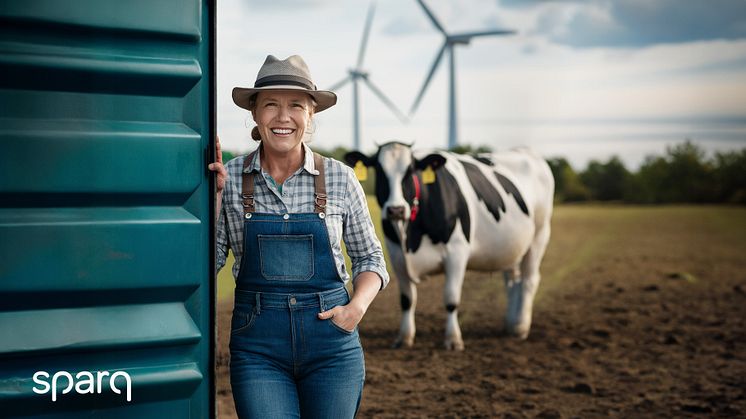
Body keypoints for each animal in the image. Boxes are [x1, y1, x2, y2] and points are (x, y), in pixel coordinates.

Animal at [346, 143, 548, 350]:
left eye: (411, 170)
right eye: (379, 170)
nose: (396, 210)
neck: (412, 237)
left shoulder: (457, 253)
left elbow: (451, 299)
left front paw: (453, 339)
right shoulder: (396, 256)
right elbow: (407, 300)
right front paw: (404, 337)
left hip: (539, 236)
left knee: (529, 280)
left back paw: (521, 328)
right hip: (512, 247)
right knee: (512, 280)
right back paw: (512, 324)